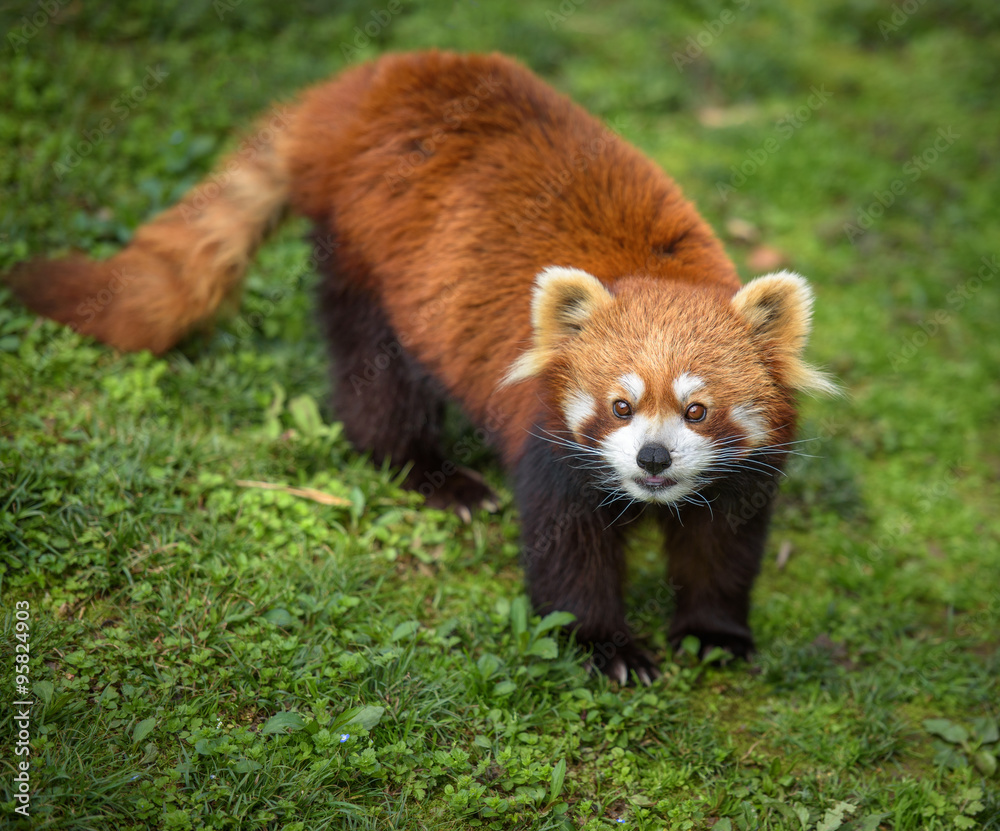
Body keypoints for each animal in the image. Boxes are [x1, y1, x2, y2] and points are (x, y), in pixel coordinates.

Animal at [5, 50, 836, 684]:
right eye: (620, 406)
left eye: (696, 410)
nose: (653, 458)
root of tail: (376, 79)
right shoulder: (549, 436)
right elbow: (567, 551)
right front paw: (606, 645)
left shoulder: (745, 469)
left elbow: (722, 544)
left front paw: (714, 632)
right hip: (370, 258)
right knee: (377, 384)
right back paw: (432, 474)